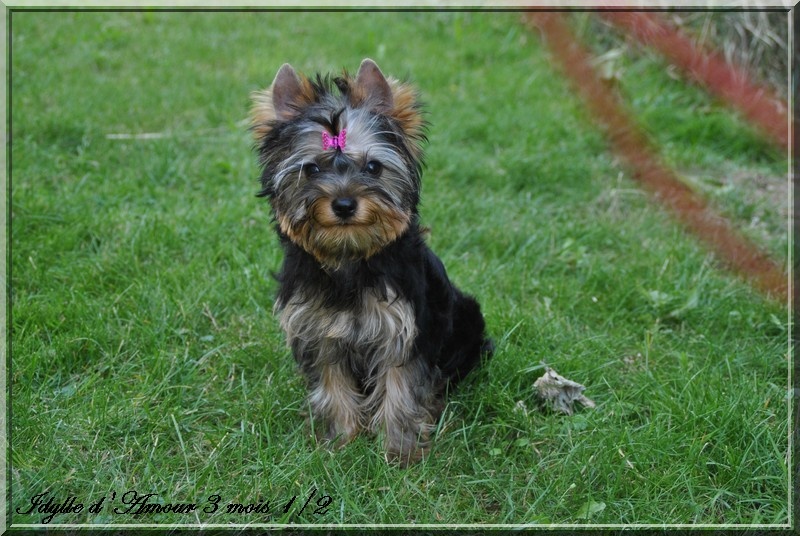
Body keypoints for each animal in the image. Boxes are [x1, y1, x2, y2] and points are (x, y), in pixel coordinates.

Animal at [250, 56, 490, 462]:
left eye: (373, 167)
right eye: (312, 169)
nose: (344, 204)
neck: (349, 255)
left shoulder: (403, 330)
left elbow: (400, 387)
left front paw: (399, 451)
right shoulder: (318, 332)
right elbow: (332, 384)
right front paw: (340, 441)